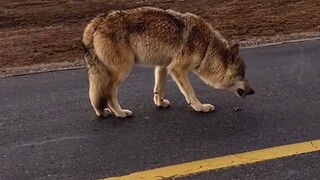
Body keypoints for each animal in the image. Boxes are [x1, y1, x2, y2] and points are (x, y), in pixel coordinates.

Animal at [82, 6, 255, 118]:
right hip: (123, 70)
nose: (253, 91)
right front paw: (200, 107)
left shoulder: (163, 66)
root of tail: (97, 21)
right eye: (242, 74)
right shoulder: (178, 69)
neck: (207, 47)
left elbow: (158, 89)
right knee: (108, 93)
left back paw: (102, 112)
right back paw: (120, 113)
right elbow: (190, 92)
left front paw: (160, 104)